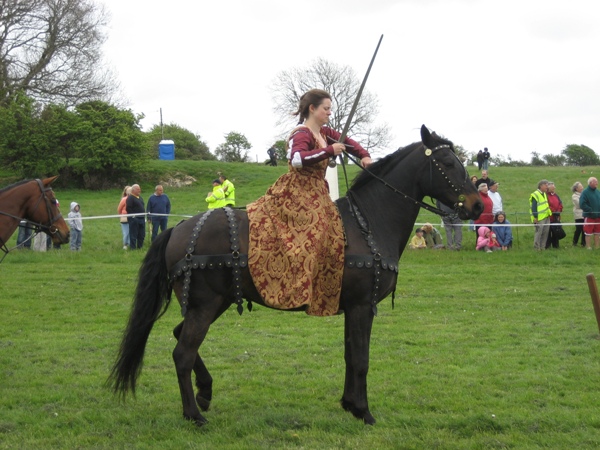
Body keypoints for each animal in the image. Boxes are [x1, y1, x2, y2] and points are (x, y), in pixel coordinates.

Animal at [110, 125, 486, 426]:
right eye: (448, 163)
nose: (478, 206)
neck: (368, 221)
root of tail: (178, 229)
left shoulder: (350, 307)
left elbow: (350, 354)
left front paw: (349, 404)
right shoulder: (362, 306)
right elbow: (362, 359)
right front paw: (364, 411)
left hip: (209, 304)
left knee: (179, 337)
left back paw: (205, 392)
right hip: (206, 305)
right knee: (182, 352)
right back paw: (194, 414)